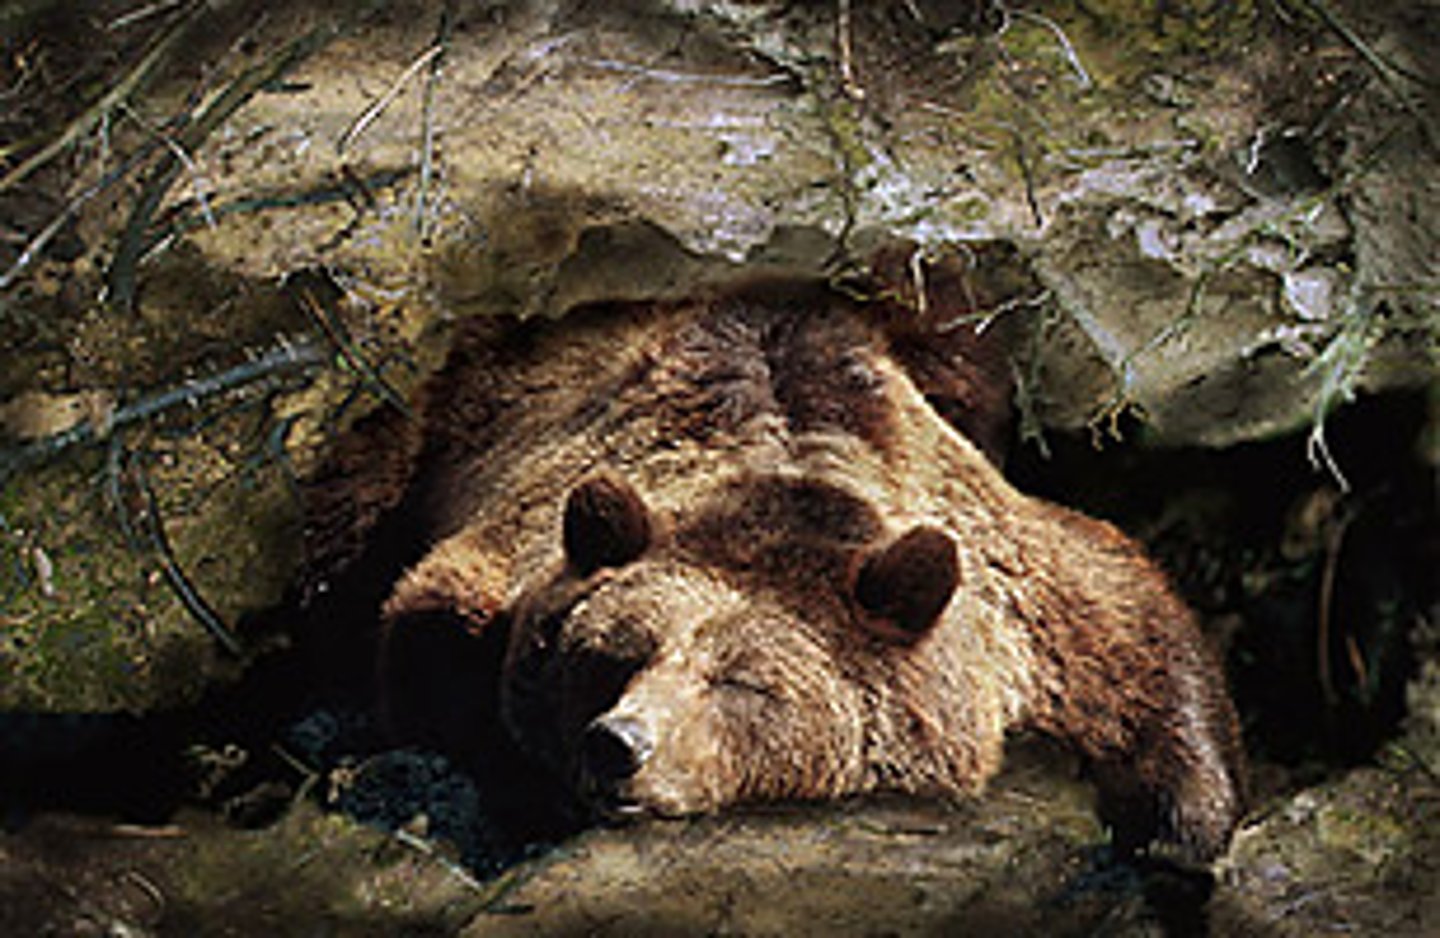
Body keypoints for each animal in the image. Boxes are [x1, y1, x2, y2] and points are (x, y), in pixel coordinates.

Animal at [302, 271, 1246, 862]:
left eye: (744, 684)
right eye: (612, 653)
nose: (621, 744)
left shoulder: (1010, 580)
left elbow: (1130, 624)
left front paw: (1179, 830)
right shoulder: (522, 520)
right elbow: (435, 630)